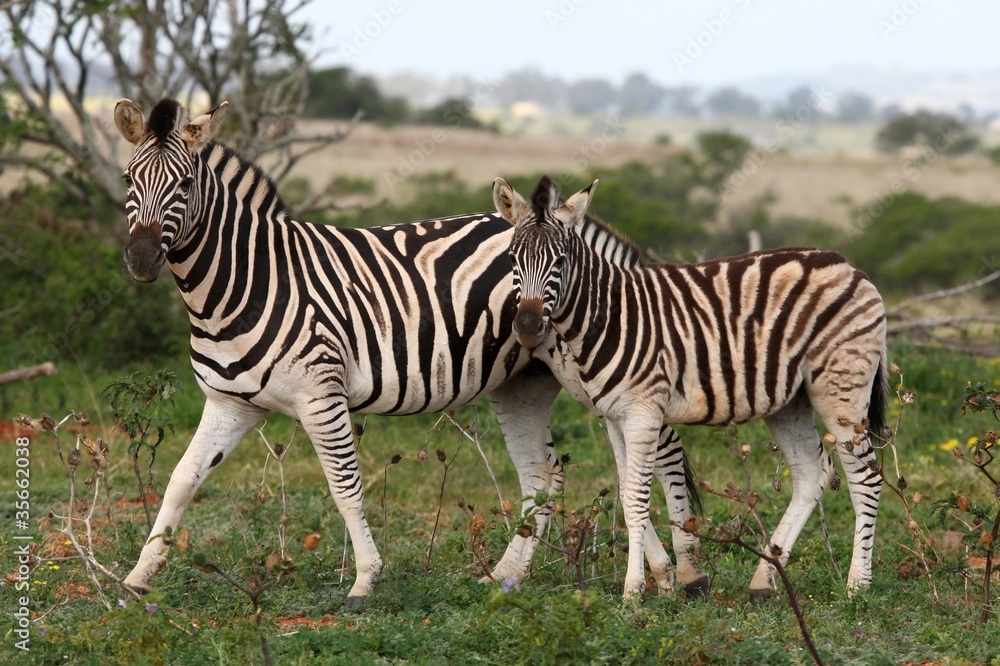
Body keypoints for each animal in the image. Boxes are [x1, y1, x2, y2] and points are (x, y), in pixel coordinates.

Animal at [112, 98, 702, 606]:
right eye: (127, 179)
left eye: (186, 183)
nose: (140, 260)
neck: (245, 281)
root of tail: (585, 228)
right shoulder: (230, 403)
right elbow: (181, 482)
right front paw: (139, 576)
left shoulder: (321, 397)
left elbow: (345, 487)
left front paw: (365, 580)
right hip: (526, 381)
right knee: (548, 475)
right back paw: (515, 576)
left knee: (662, 453)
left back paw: (688, 572)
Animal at [496, 175, 888, 601]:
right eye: (512, 259)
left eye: (560, 261)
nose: (527, 327)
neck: (611, 314)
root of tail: (847, 264)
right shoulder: (614, 416)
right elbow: (625, 494)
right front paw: (653, 582)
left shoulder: (643, 412)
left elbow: (638, 499)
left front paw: (634, 592)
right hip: (790, 401)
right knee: (811, 473)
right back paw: (764, 579)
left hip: (841, 389)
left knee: (865, 477)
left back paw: (857, 585)